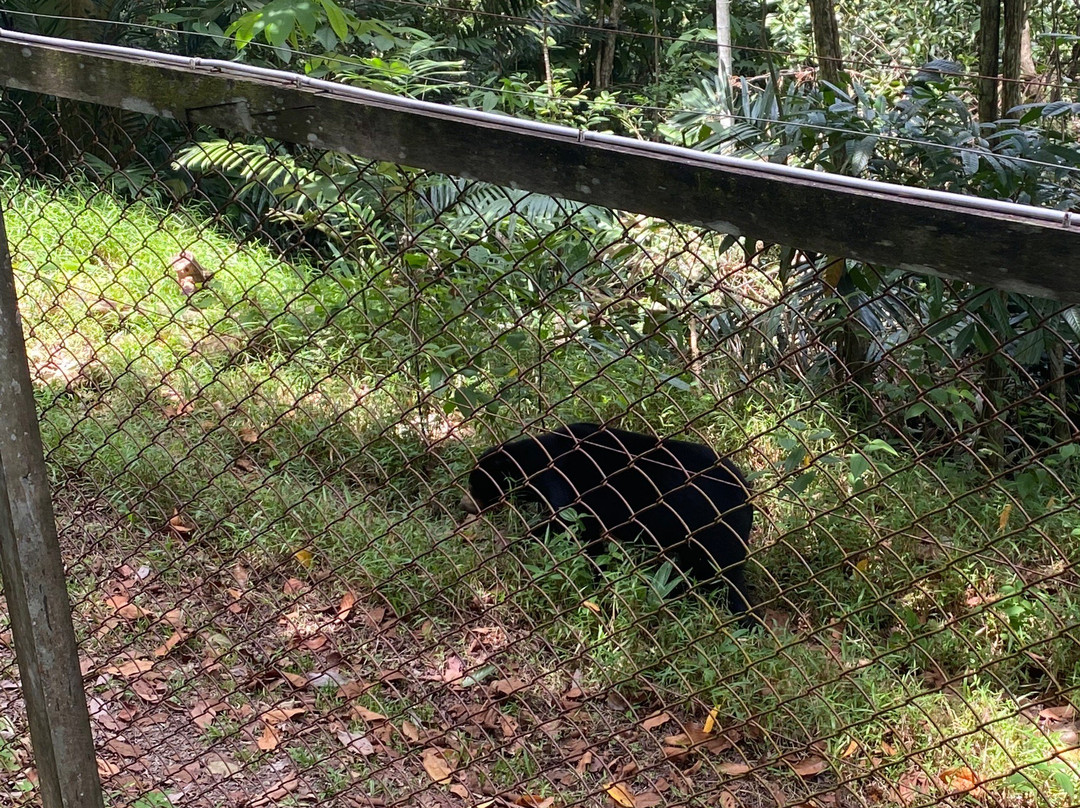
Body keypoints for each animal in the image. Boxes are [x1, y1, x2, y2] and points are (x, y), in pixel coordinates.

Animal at [461, 423, 754, 615]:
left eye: (477, 484)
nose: (464, 505)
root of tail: (747, 498)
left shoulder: (564, 489)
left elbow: (571, 530)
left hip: (713, 538)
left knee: (725, 583)